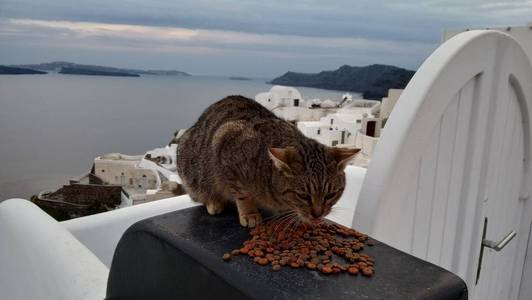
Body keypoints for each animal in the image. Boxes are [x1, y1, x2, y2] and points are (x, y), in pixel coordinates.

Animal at [177, 96, 360, 227]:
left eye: (330, 195)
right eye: (303, 195)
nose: (318, 214)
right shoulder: (226, 143)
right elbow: (242, 193)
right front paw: (250, 213)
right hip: (193, 173)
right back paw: (214, 202)